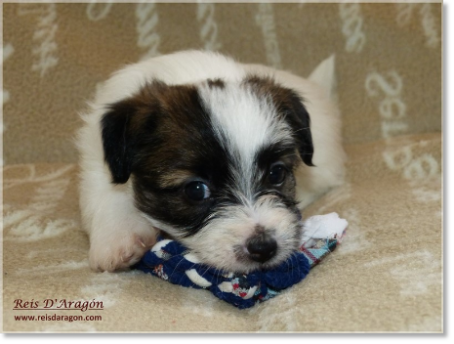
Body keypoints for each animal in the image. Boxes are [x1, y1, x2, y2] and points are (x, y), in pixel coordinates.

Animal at [76, 49, 346, 272]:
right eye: (196, 190)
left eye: (276, 174)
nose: (264, 248)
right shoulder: (96, 155)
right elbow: (107, 190)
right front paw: (118, 238)